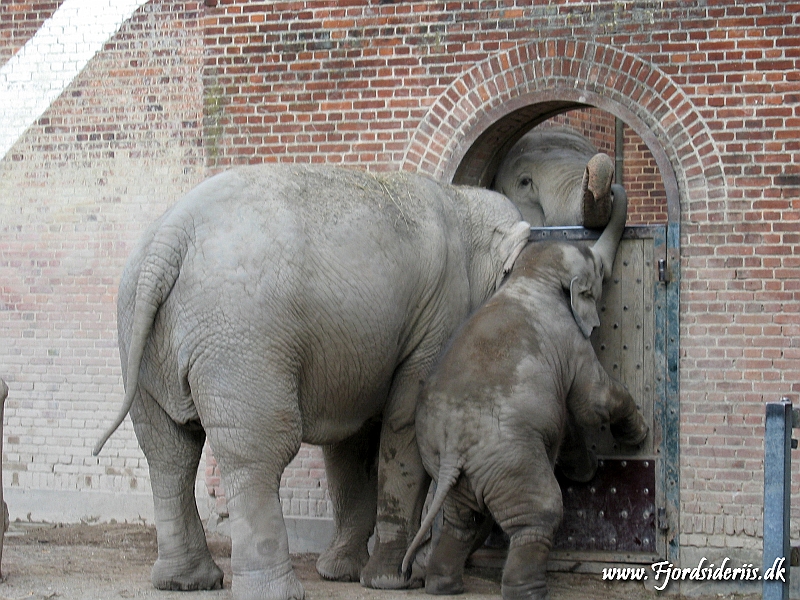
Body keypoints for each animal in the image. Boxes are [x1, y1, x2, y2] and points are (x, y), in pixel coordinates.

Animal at [94, 163, 532, 600]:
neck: (463, 202)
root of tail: (170, 238)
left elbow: (350, 448)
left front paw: (341, 573)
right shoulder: (437, 321)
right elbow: (404, 427)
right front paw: (394, 581)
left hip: (140, 335)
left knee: (168, 450)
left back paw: (186, 582)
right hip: (243, 339)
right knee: (256, 451)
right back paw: (274, 591)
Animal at [404, 183, 648, 600]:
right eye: (600, 272)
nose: (616, 189)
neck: (531, 276)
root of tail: (452, 450)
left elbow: (570, 418)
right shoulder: (570, 338)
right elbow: (591, 403)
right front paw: (639, 436)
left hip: (450, 468)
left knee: (460, 521)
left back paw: (444, 586)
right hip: (512, 463)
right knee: (538, 514)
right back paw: (529, 591)